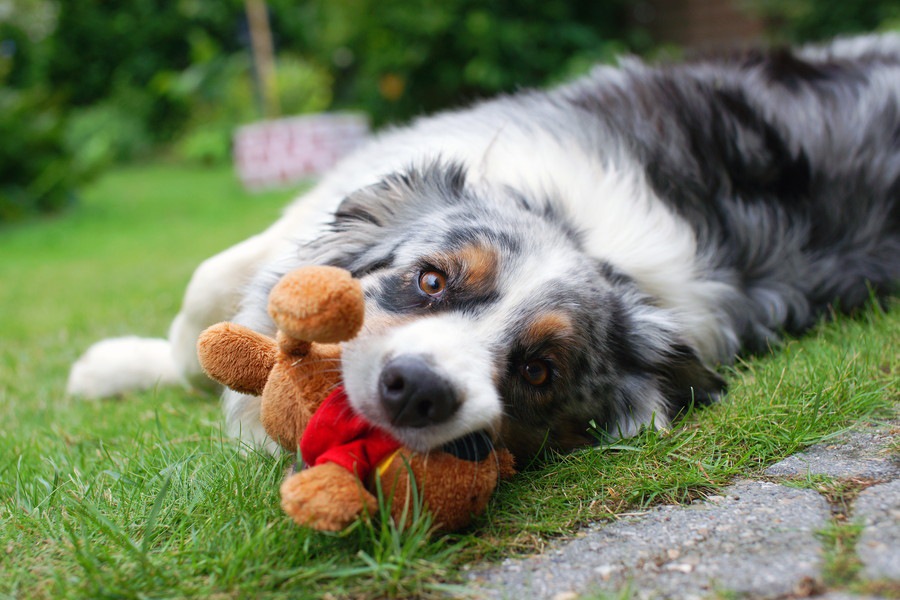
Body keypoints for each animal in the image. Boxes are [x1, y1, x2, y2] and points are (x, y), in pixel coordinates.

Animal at [70, 35, 900, 462]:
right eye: (432, 281)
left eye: (539, 372)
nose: (417, 390)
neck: (581, 232)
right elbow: (204, 296)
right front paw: (111, 368)